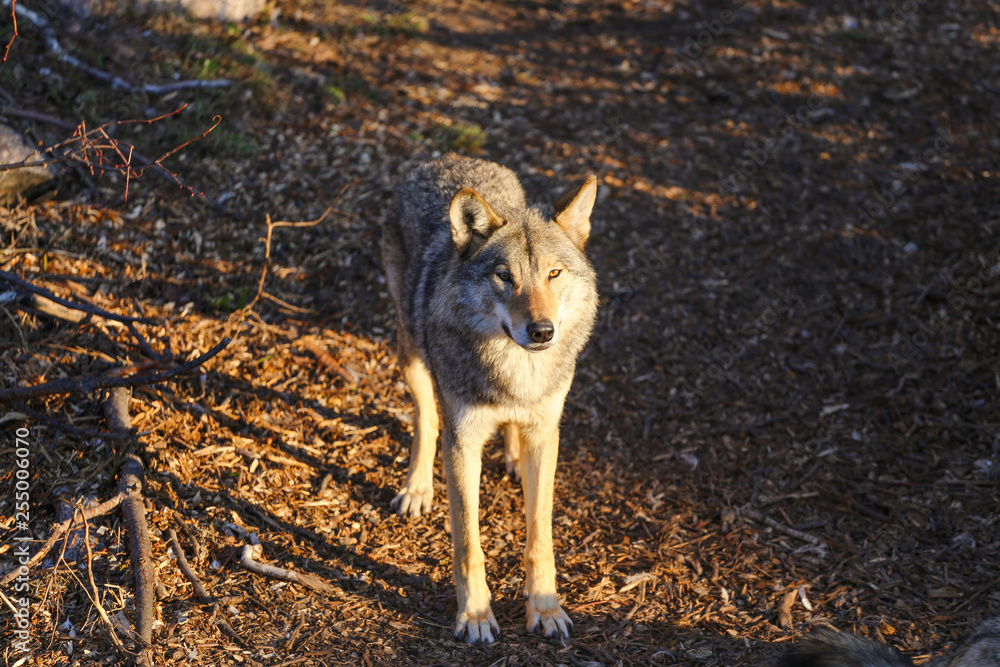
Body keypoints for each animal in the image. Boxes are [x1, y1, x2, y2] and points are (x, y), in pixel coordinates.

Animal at [381, 153, 599, 644]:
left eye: (553, 274)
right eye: (505, 276)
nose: (541, 331)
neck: (516, 373)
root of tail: (444, 158)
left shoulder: (547, 433)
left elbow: (539, 538)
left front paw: (545, 609)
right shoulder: (463, 444)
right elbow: (468, 545)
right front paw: (476, 615)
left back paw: (514, 458)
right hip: (411, 350)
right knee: (427, 419)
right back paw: (417, 487)